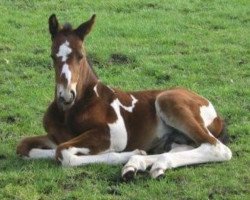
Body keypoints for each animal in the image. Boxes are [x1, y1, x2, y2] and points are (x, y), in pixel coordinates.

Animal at [17, 14, 232, 179]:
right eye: (53, 56)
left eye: (81, 55)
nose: (66, 96)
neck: (73, 110)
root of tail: (214, 111)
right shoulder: (55, 136)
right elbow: (25, 147)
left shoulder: (115, 134)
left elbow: (63, 152)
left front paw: (127, 153)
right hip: (178, 137)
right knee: (184, 147)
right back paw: (140, 165)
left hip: (168, 100)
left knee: (216, 147)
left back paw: (138, 160)